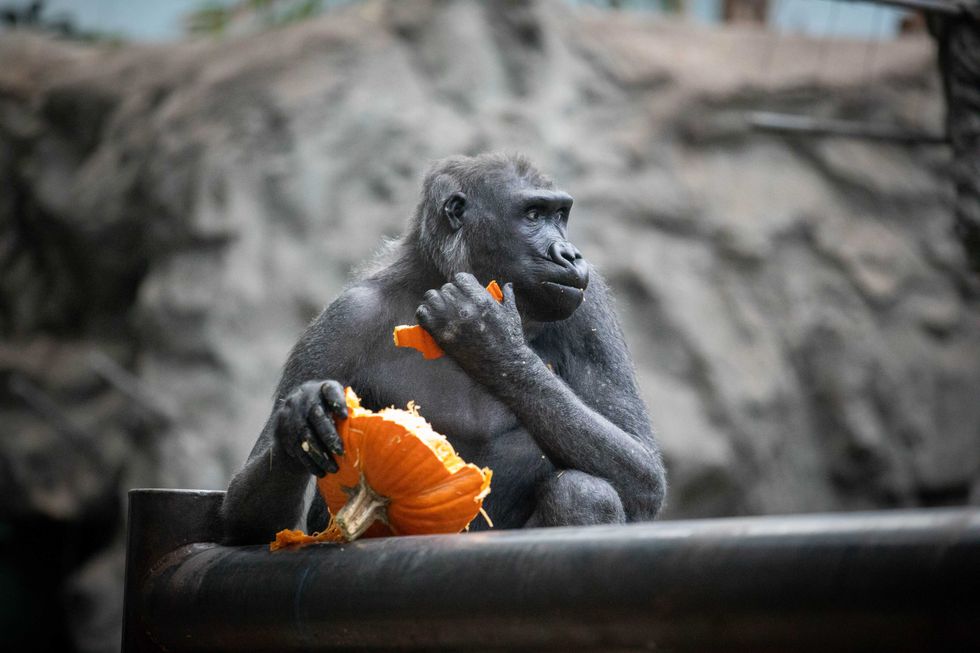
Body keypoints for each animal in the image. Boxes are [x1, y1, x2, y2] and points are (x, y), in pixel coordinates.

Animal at [222, 153, 666, 544]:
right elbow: (244, 517)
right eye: (533, 215)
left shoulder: (591, 308)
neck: (435, 276)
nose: (569, 254)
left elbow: (642, 469)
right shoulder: (344, 319)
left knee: (585, 493)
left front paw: (491, 339)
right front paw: (302, 418)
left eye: (560, 215)